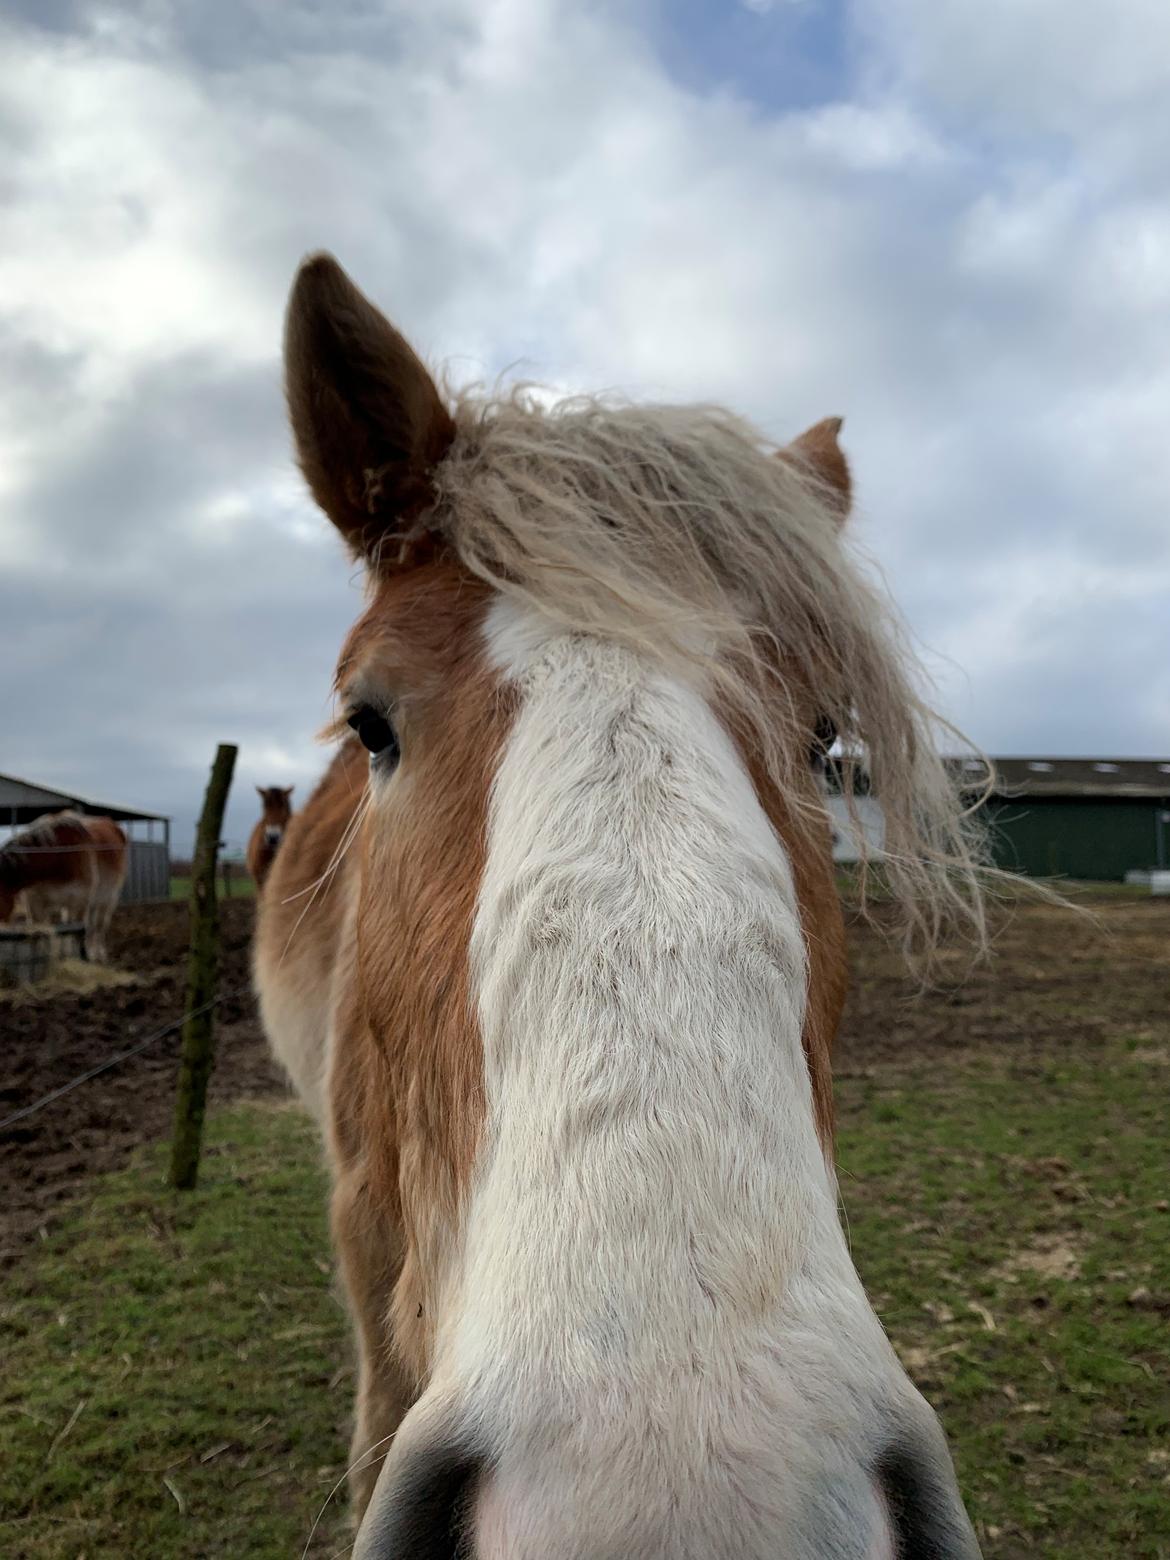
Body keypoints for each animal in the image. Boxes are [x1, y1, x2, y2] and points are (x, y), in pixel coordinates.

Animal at [0, 817, 128, 960]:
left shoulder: (79, 902)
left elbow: (75, 933)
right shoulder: (35, 905)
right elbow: (41, 936)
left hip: (108, 898)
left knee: (99, 925)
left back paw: (98, 954)